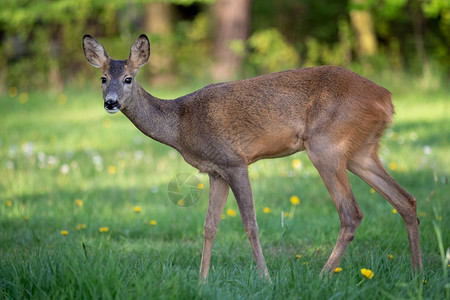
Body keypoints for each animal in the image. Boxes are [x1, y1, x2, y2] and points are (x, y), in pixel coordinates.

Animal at [82, 34, 424, 282]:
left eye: (128, 78)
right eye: (102, 78)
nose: (111, 103)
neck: (181, 124)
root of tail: (387, 99)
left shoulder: (235, 161)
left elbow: (250, 223)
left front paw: (265, 278)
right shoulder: (215, 171)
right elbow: (209, 226)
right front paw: (202, 281)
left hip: (327, 146)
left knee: (351, 213)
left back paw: (322, 275)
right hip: (360, 151)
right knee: (405, 199)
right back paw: (417, 273)